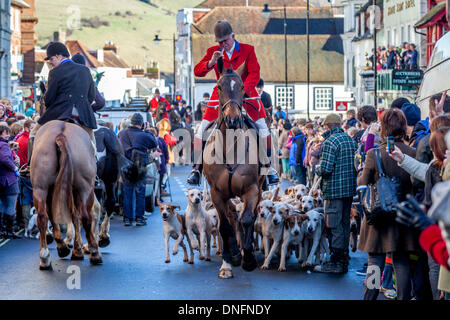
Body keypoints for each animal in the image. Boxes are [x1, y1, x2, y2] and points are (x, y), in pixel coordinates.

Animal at [31, 120, 101, 270]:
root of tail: (61, 134)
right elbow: (76, 218)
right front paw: (77, 250)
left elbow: (65, 217)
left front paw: (67, 247)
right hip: (85, 188)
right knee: (85, 216)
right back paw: (94, 252)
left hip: (40, 188)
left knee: (43, 216)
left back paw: (45, 257)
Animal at [203, 59, 266, 278]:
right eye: (219, 87)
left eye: (242, 87)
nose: (232, 119)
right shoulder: (217, 193)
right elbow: (225, 226)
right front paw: (229, 262)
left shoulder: (251, 189)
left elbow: (247, 219)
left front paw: (248, 259)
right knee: (230, 218)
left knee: (248, 216)